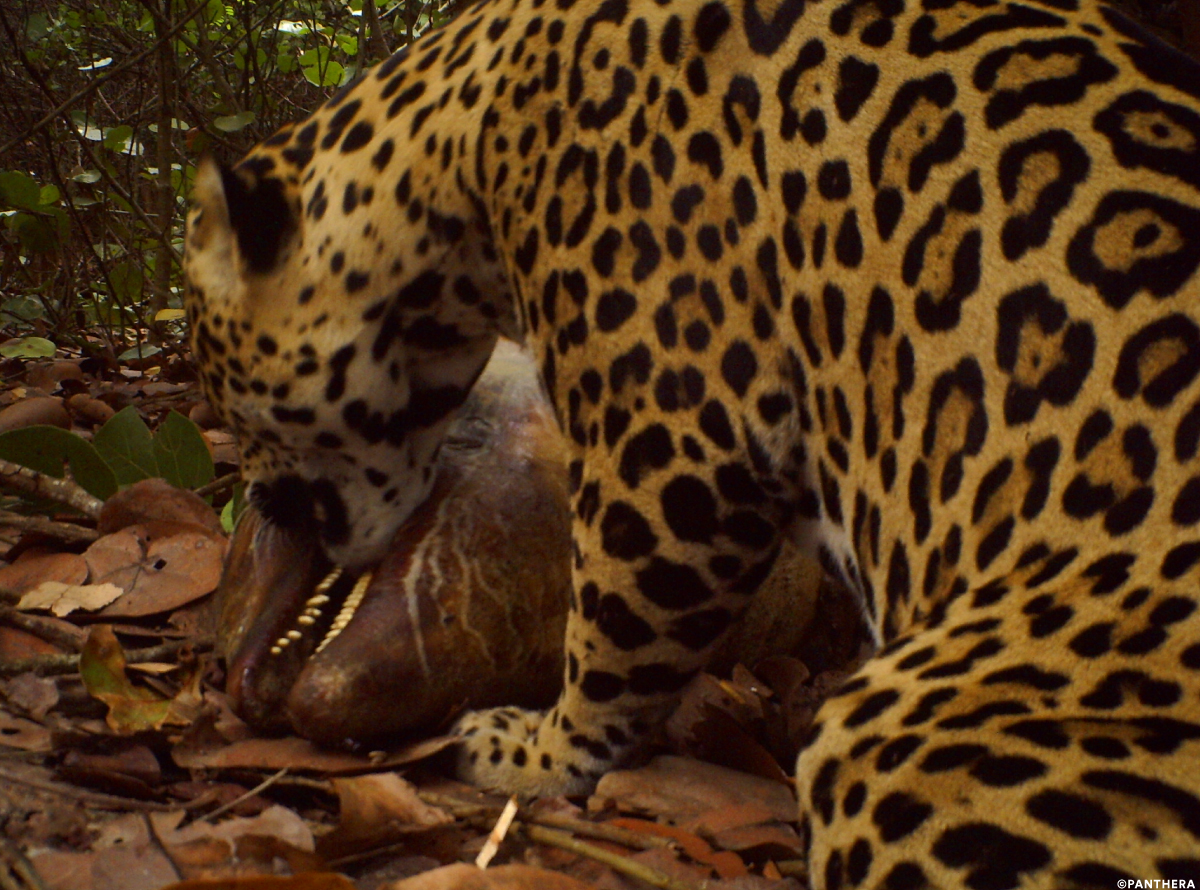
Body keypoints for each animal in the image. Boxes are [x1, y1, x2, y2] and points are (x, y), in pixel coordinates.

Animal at [184, 0, 1200, 884]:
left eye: (222, 385)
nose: (257, 506)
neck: (463, 138)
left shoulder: (673, 444)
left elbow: (613, 636)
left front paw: (536, 751)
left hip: (901, 738)